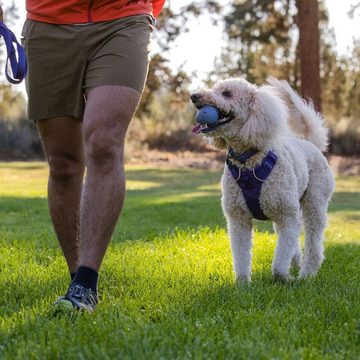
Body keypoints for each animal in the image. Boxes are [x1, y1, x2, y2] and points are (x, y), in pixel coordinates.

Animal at [191, 77, 334, 282]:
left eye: (227, 93)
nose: (194, 96)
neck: (248, 161)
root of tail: (310, 144)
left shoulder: (287, 217)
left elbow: (279, 261)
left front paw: (283, 278)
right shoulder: (238, 220)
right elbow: (241, 256)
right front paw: (242, 283)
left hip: (314, 203)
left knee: (313, 242)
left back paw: (306, 274)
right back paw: (296, 263)